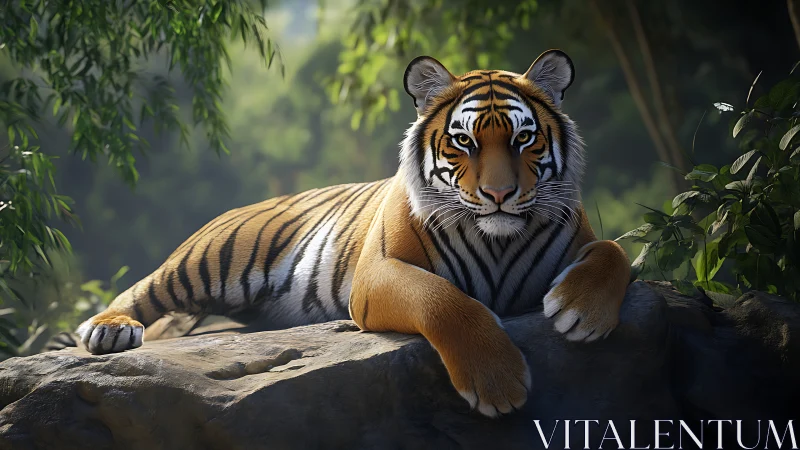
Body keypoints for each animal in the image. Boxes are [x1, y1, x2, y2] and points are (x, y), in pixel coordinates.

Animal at [75, 49, 631, 418]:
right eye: (464, 142)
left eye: (523, 138)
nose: (498, 193)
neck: (496, 237)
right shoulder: (379, 272)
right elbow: (442, 300)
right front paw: (498, 382)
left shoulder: (581, 237)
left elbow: (615, 251)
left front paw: (581, 312)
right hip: (208, 259)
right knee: (143, 290)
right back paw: (110, 329)